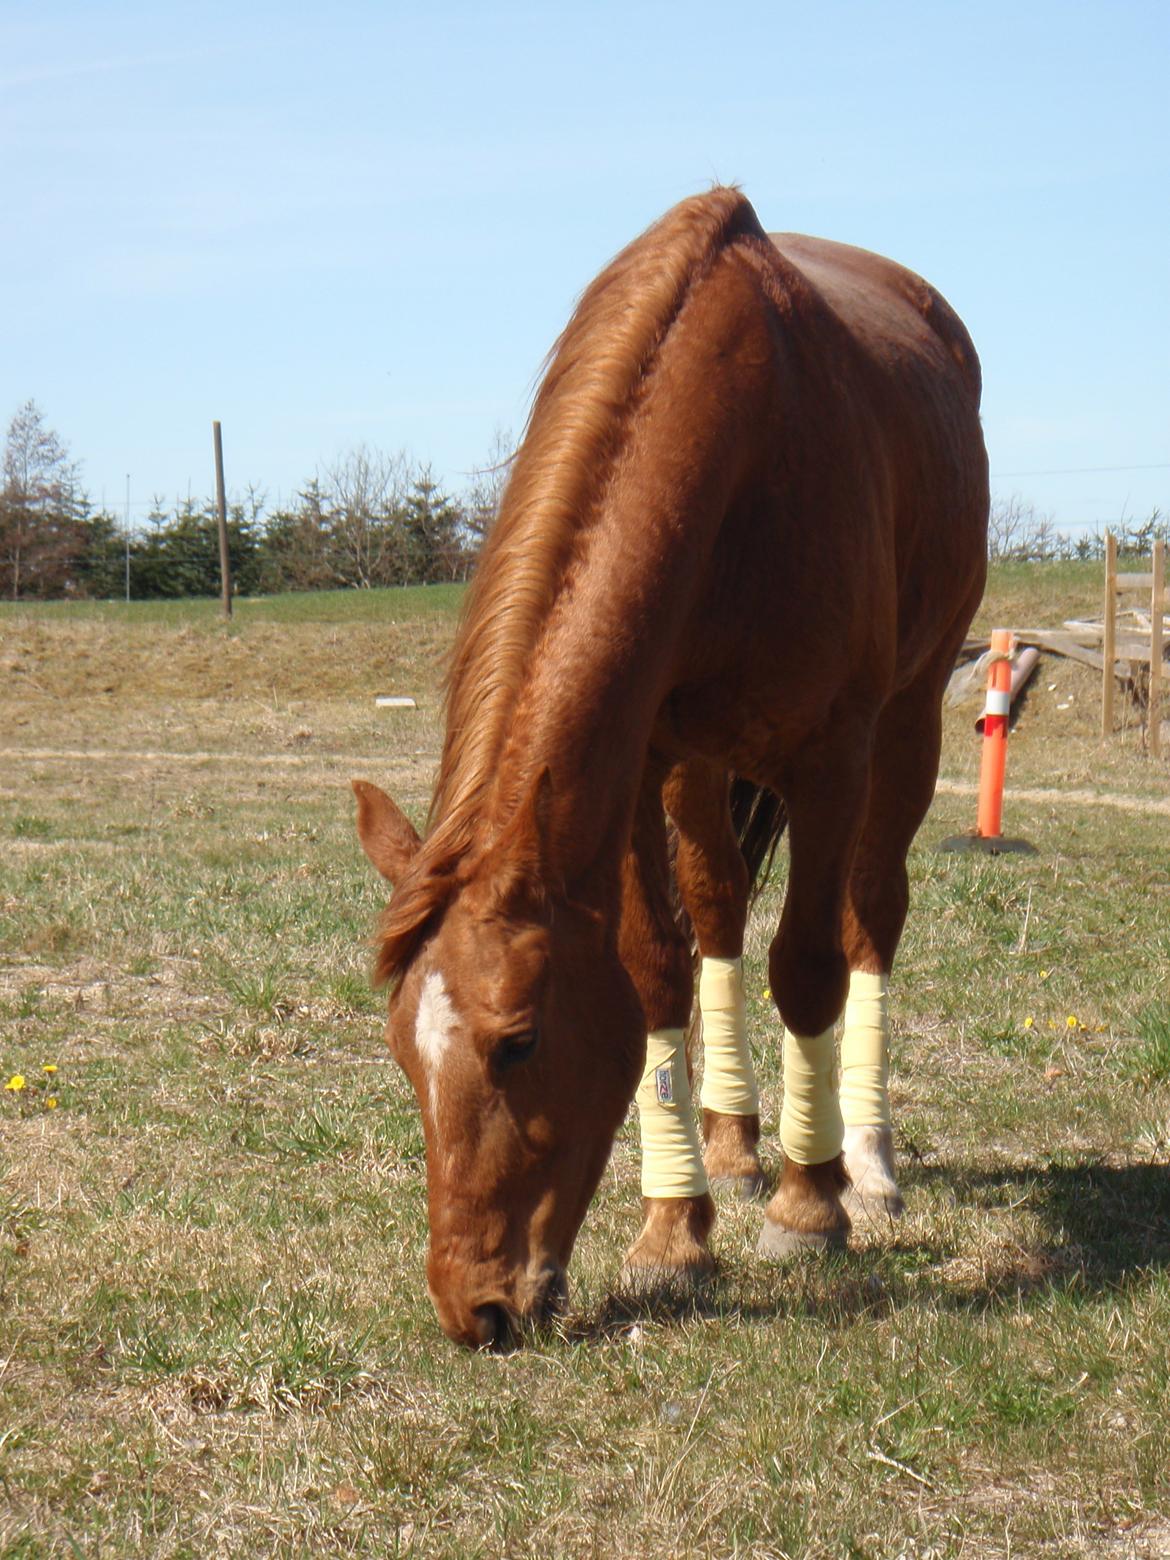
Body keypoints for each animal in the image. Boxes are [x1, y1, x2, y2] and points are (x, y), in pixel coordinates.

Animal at [355, 191, 992, 1341]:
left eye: (517, 1043)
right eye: (398, 1049)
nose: (476, 1308)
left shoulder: (834, 753)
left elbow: (810, 966)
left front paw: (808, 1208)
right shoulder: (644, 752)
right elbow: (657, 964)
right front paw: (673, 1232)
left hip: (909, 721)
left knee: (870, 916)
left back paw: (863, 1159)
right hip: (702, 769)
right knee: (722, 908)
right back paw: (736, 1143)